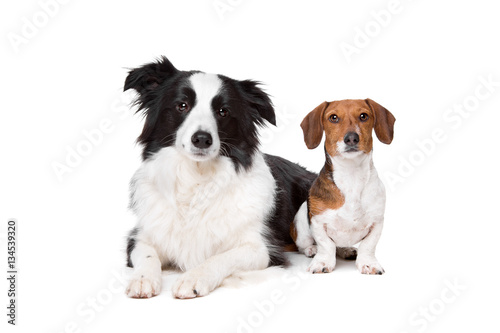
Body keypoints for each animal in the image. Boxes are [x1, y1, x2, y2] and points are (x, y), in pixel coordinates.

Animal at [123, 57, 314, 298]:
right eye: (182, 105)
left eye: (223, 111)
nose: (202, 139)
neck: (197, 178)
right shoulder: (139, 237)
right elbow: (147, 255)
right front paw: (142, 279)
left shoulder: (261, 248)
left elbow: (222, 257)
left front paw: (194, 277)